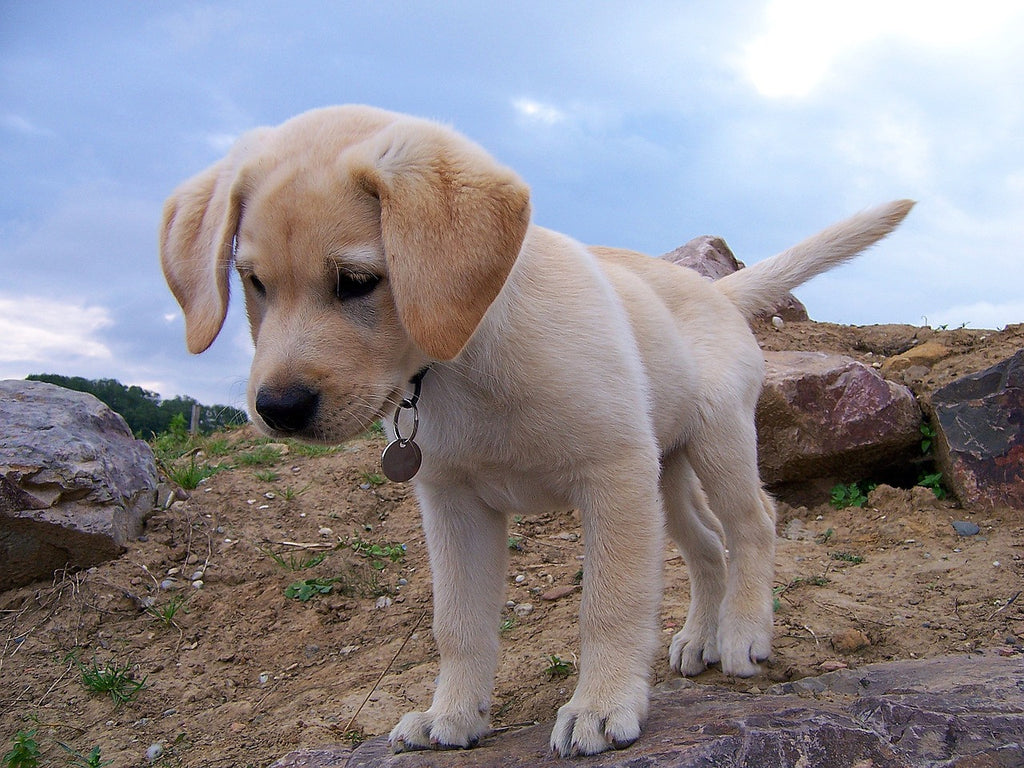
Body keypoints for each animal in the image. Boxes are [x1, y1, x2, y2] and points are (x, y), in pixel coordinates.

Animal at [159, 105, 913, 761]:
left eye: (356, 281)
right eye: (252, 282)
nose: (278, 407)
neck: (464, 359)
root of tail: (713, 289)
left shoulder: (612, 477)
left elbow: (610, 604)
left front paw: (602, 706)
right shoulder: (453, 505)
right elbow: (458, 624)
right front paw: (451, 715)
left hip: (715, 441)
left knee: (753, 521)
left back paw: (744, 633)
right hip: (663, 473)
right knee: (706, 548)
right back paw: (701, 636)